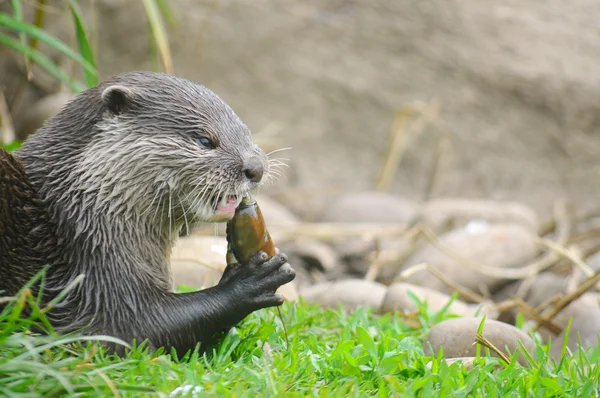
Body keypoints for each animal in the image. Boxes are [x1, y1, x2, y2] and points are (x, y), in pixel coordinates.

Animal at [0, 71, 296, 354]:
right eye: (204, 140)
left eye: (246, 133)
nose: (255, 168)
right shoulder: (91, 268)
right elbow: (134, 329)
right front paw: (252, 282)